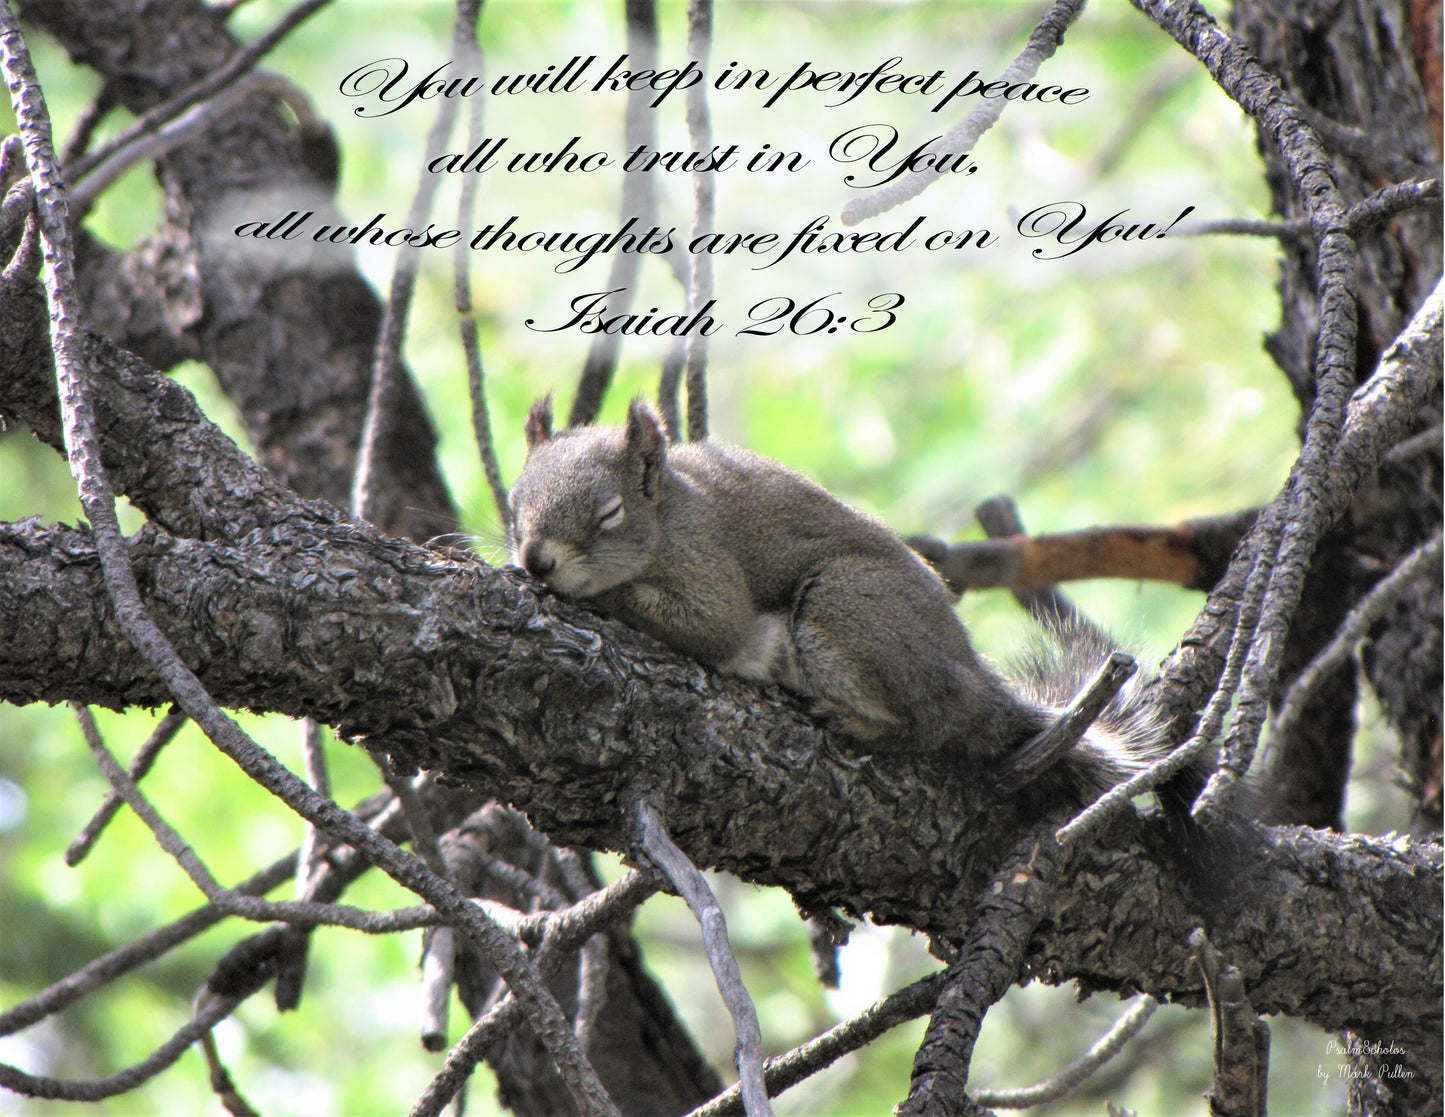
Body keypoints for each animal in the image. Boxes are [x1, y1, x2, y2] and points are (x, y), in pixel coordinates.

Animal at [508, 395, 1161, 797]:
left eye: (609, 513)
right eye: (514, 504)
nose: (535, 559)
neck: (669, 513)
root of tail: (975, 680)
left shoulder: (710, 569)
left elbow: (712, 626)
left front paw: (604, 599)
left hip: (842, 607)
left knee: (927, 724)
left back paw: (851, 718)